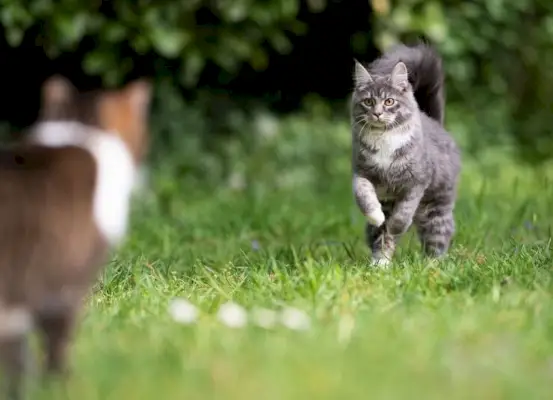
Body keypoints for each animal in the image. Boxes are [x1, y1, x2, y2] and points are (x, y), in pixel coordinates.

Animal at [350, 43, 462, 266]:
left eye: (389, 101)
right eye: (368, 102)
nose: (377, 113)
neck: (383, 138)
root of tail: (434, 122)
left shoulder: (417, 182)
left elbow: (404, 214)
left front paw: (395, 225)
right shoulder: (362, 173)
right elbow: (363, 196)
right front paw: (376, 216)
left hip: (436, 210)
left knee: (437, 241)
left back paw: (432, 266)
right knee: (381, 240)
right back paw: (380, 264)